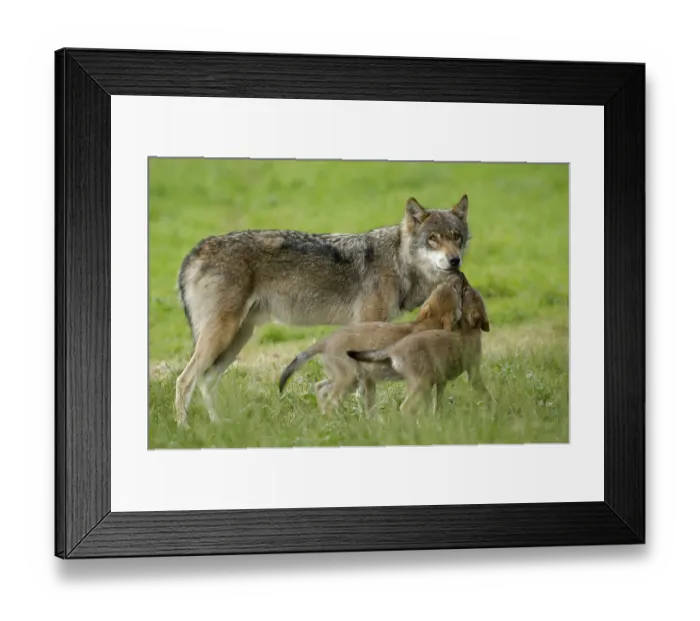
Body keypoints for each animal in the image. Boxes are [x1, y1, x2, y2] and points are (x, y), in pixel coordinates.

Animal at [175, 194, 471, 427]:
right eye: (433, 238)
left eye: (456, 237)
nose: (454, 260)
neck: (398, 262)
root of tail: (195, 251)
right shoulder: (367, 328)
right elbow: (366, 390)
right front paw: (367, 421)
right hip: (221, 336)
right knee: (184, 380)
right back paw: (184, 429)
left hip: (236, 339)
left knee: (205, 380)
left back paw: (217, 425)